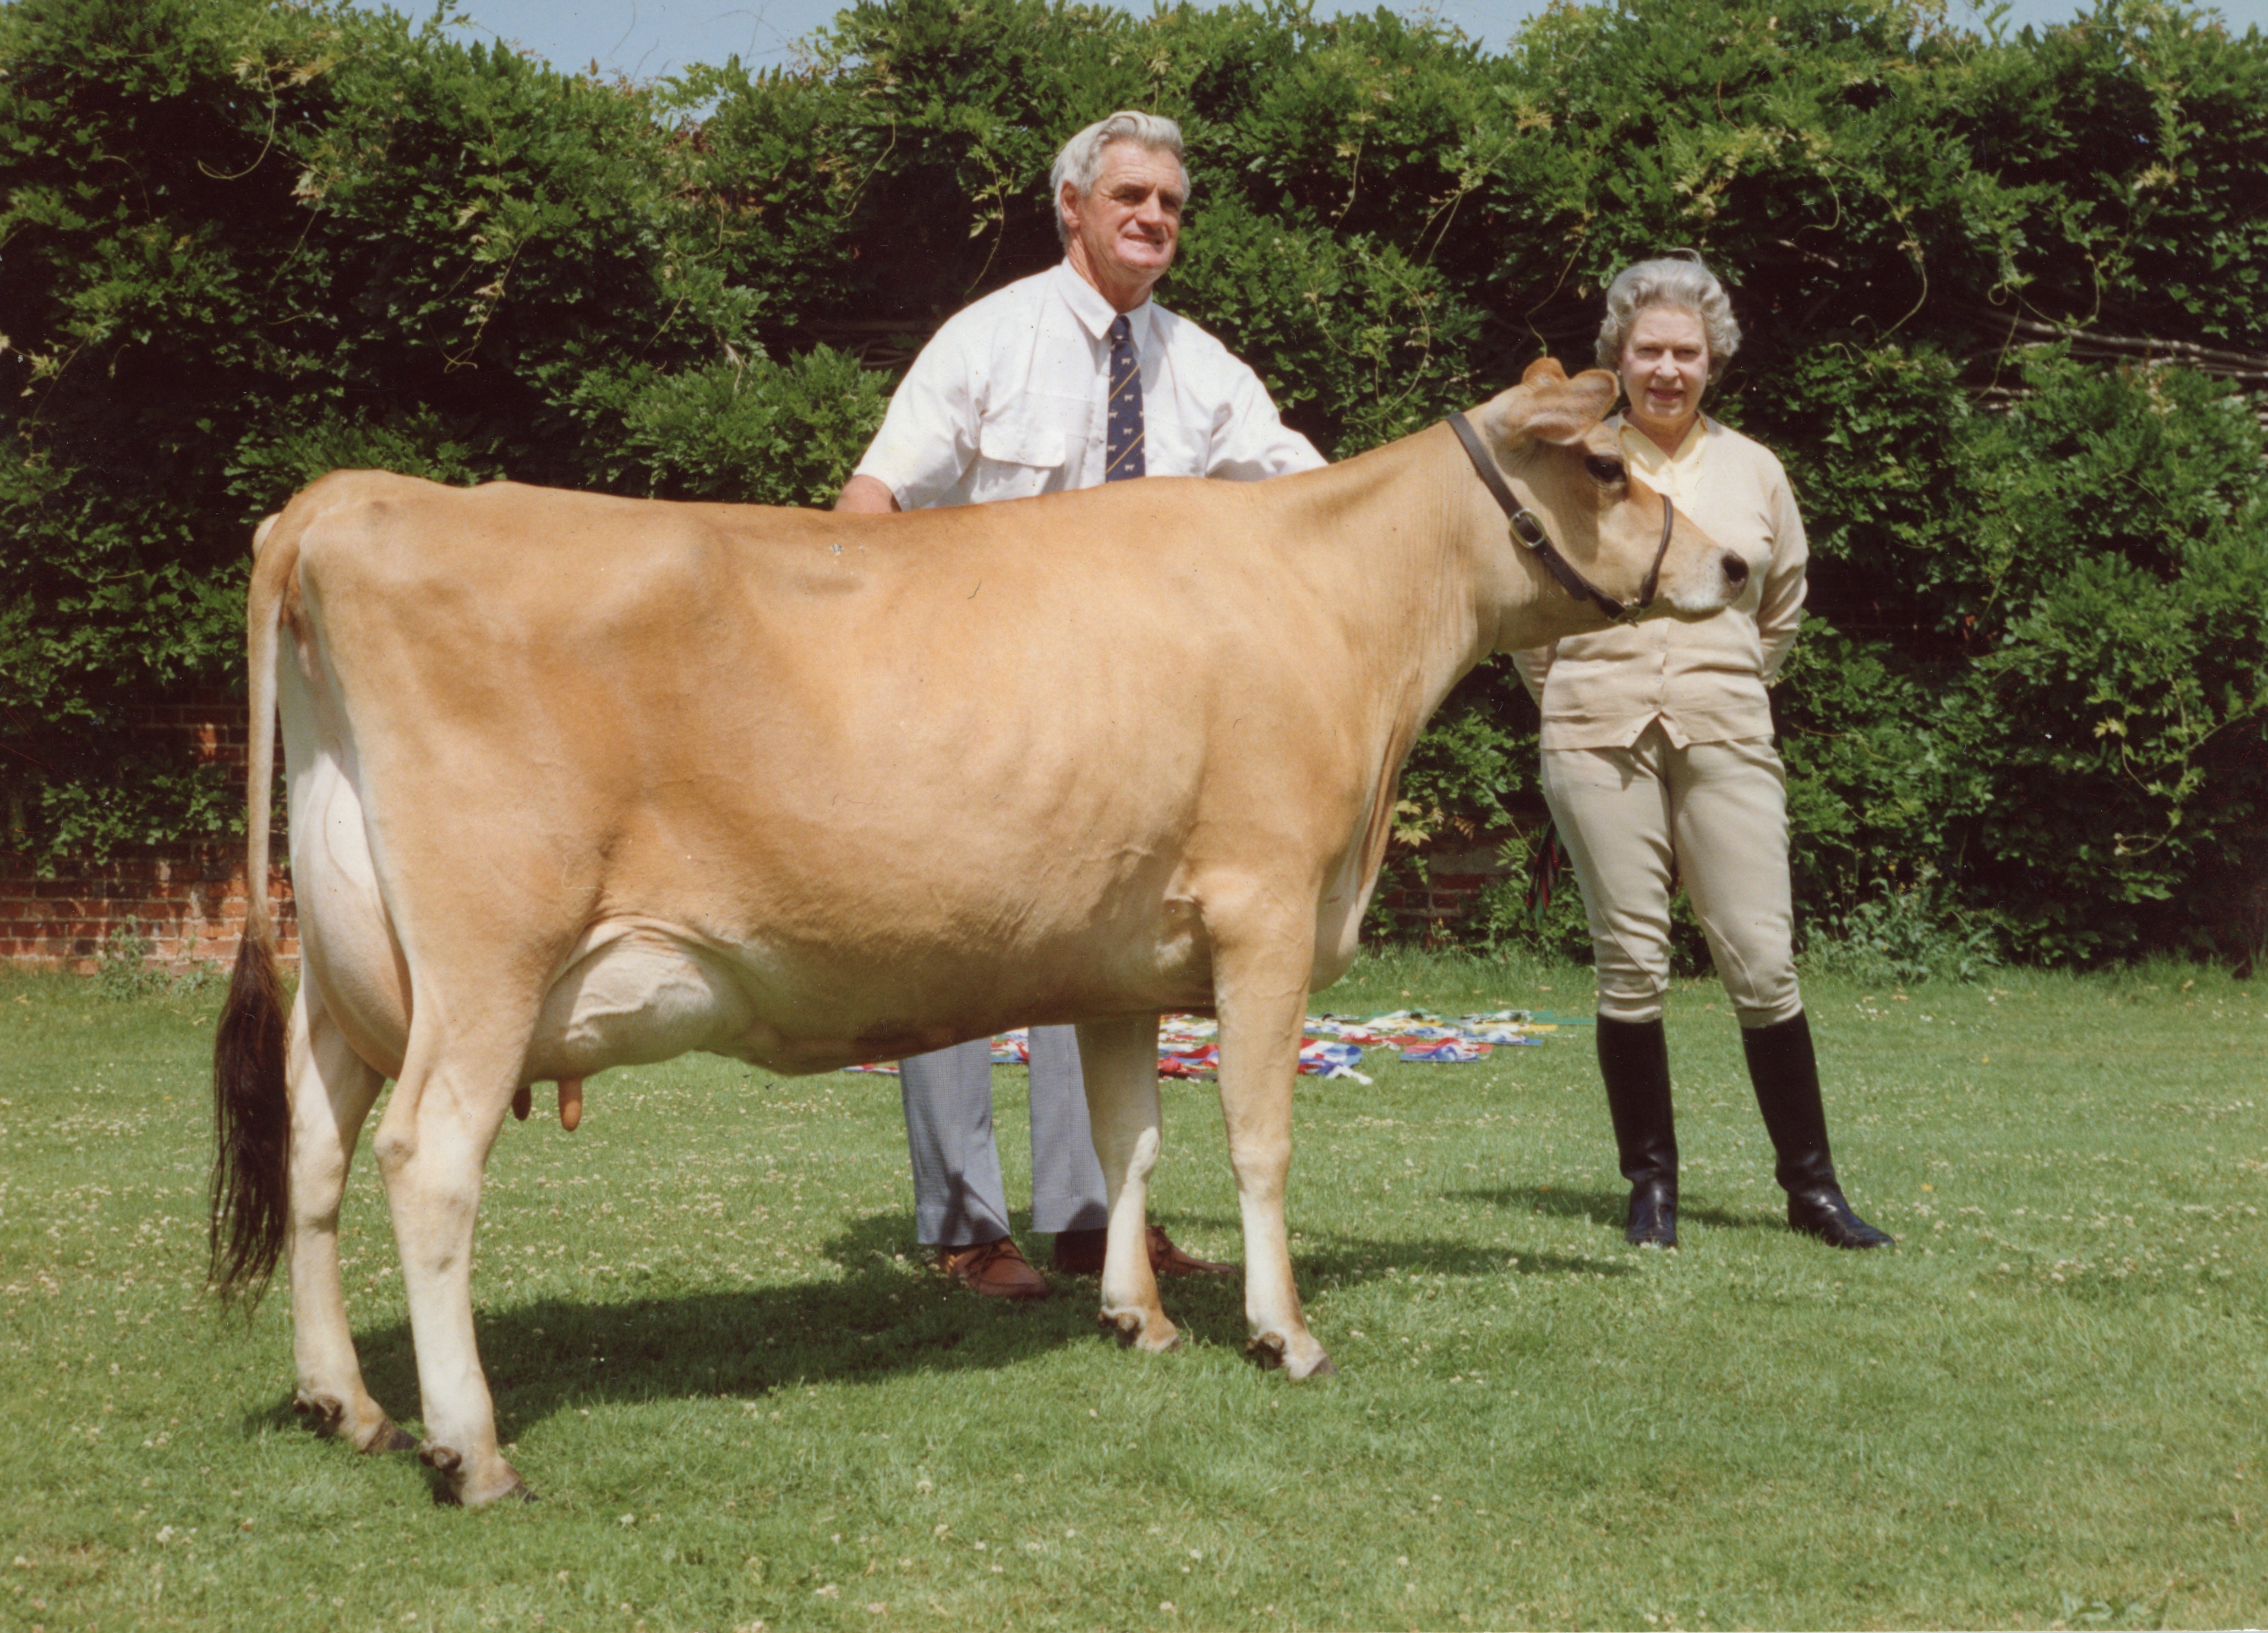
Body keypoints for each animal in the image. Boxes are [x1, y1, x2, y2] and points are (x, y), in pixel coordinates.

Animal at [209, 360, 1751, 1506]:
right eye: (1605, 468)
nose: (1737, 559)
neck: (1339, 615)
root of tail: (346, 500)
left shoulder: (1128, 955)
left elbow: (1132, 1137)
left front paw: (1136, 1314)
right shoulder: (1263, 912)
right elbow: (1256, 1138)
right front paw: (1284, 1332)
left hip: (347, 965)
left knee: (316, 1150)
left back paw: (342, 1400)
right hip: (485, 957)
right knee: (428, 1159)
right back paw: (467, 1447)